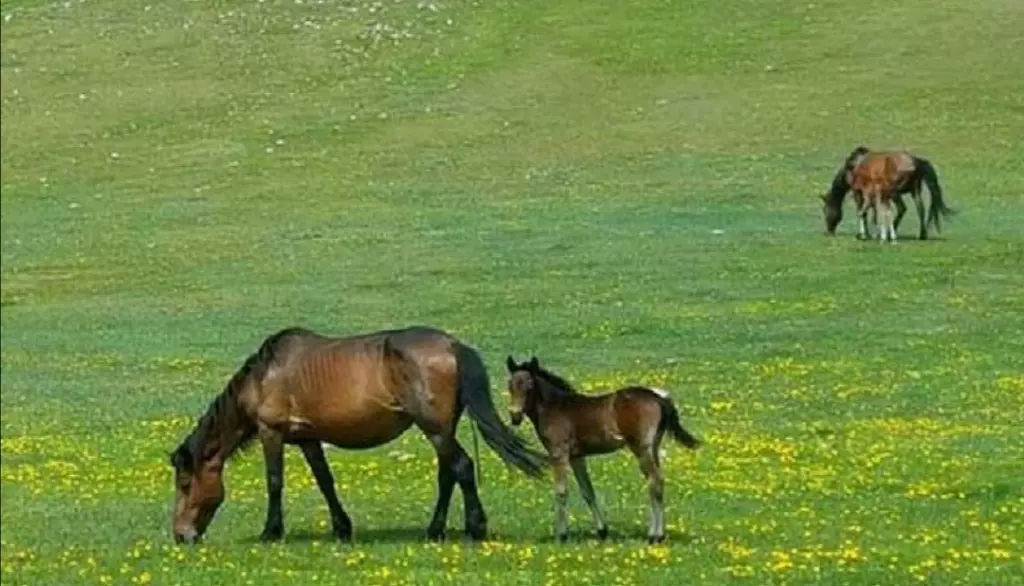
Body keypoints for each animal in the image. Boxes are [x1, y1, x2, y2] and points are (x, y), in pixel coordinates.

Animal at [171, 327, 548, 540]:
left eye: (185, 484)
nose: (181, 536)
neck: (264, 376)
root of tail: (453, 345)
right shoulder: (308, 438)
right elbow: (325, 481)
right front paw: (342, 528)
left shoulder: (271, 432)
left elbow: (274, 482)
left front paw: (271, 532)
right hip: (442, 429)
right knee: (448, 475)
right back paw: (435, 530)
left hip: (435, 429)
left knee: (462, 468)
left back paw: (474, 527)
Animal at [505, 356, 704, 545]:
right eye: (510, 385)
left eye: (530, 385)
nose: (515, 416)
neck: (555, 407)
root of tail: (658, 398)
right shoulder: (577, 457)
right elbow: (588, 491)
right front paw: (602, 531)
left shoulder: (559, 453)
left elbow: (561, 491)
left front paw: (562, 535)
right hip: (653, 447)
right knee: (657, 482)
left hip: (641, 449)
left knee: (655, 482)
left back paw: (655, 535)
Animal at [819, 145, 954, 238]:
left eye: (825, 209)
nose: (828, 231)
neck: (853, 166)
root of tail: (916, 161)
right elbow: (873, 210)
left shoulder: (858, 192)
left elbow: (862, 211)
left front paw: (864, 234)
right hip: (915, 191)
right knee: (920, 209)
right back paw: (922, 235)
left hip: (895, 193)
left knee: (902, 209)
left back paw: (891, 231)